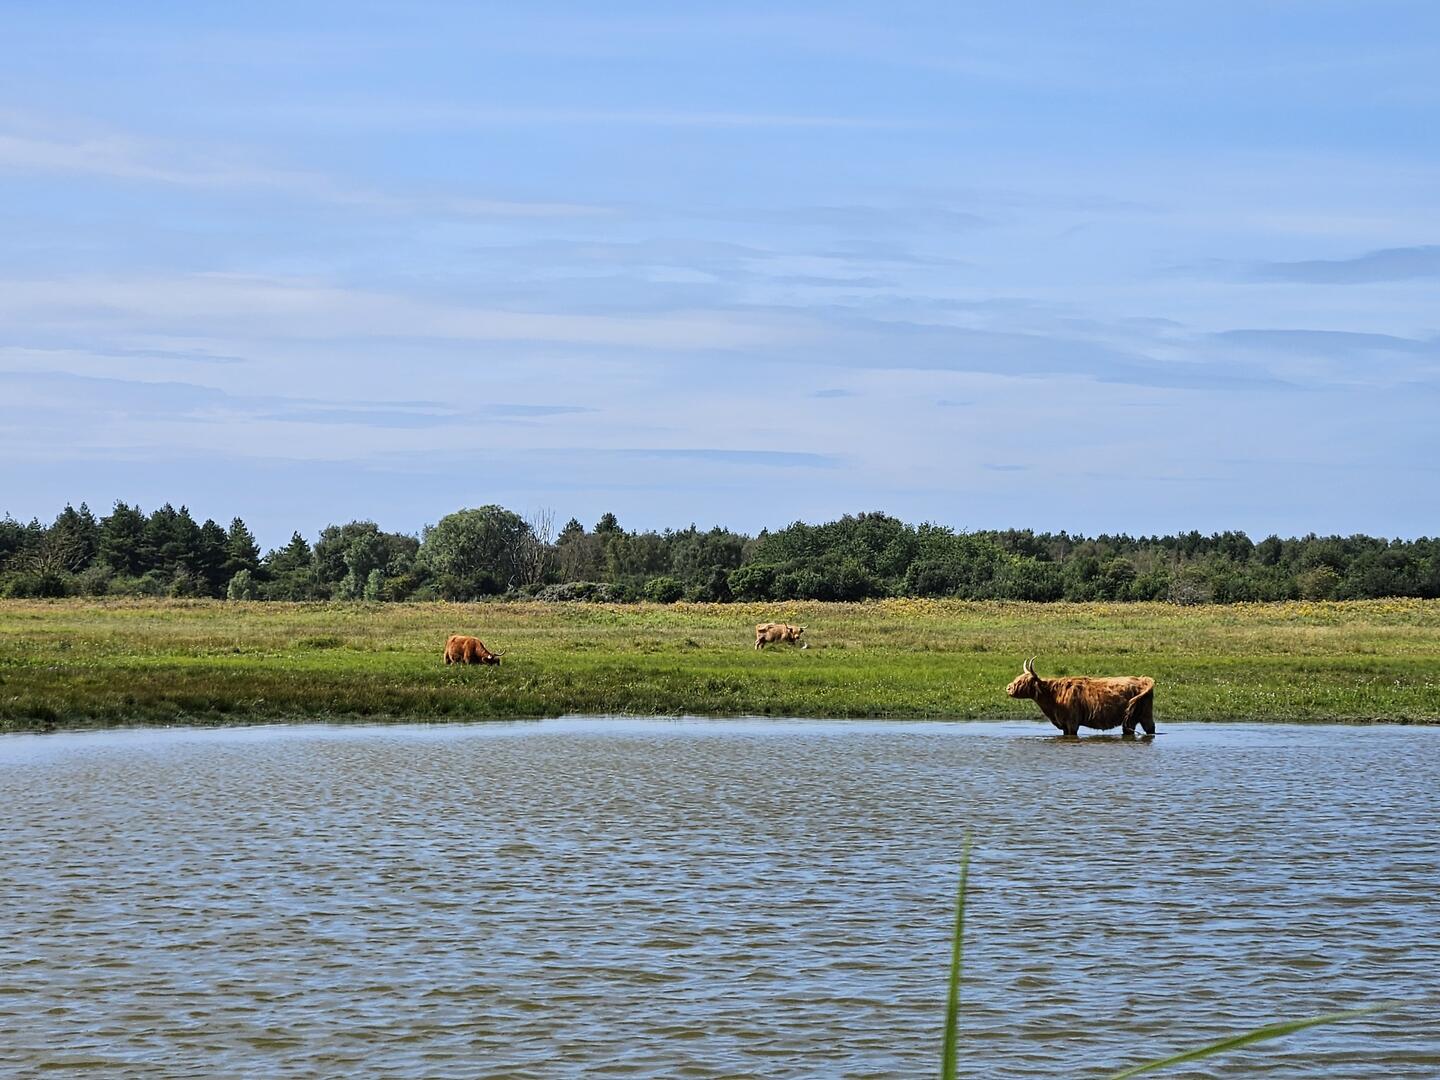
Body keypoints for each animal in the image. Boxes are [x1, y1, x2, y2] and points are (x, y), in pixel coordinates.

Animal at [1005, 657, 1154, 738]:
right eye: (1017, 678)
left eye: (1022, 681)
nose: (1008, 687)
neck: (1053, 696)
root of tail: (1143, 680)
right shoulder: (1064, 724)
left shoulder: (1072, 723)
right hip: (1138, 716)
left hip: (1138, 716)